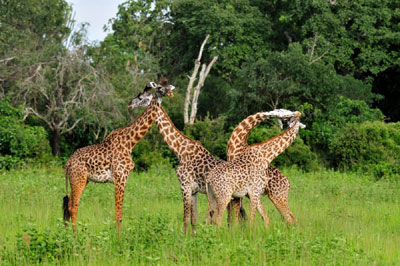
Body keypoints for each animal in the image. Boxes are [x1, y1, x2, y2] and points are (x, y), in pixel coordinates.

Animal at [63, 78, 175, 231]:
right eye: (160, 88)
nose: (171, 90)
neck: (130, 142)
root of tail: (68, 163)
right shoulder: (120, 177)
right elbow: (118, 215)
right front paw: (118, 236)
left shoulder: (124, 178)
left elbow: (119, 214)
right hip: (78, 179)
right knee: (73, 207)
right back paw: (75, 235)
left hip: (83, 180)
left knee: (68, 206)